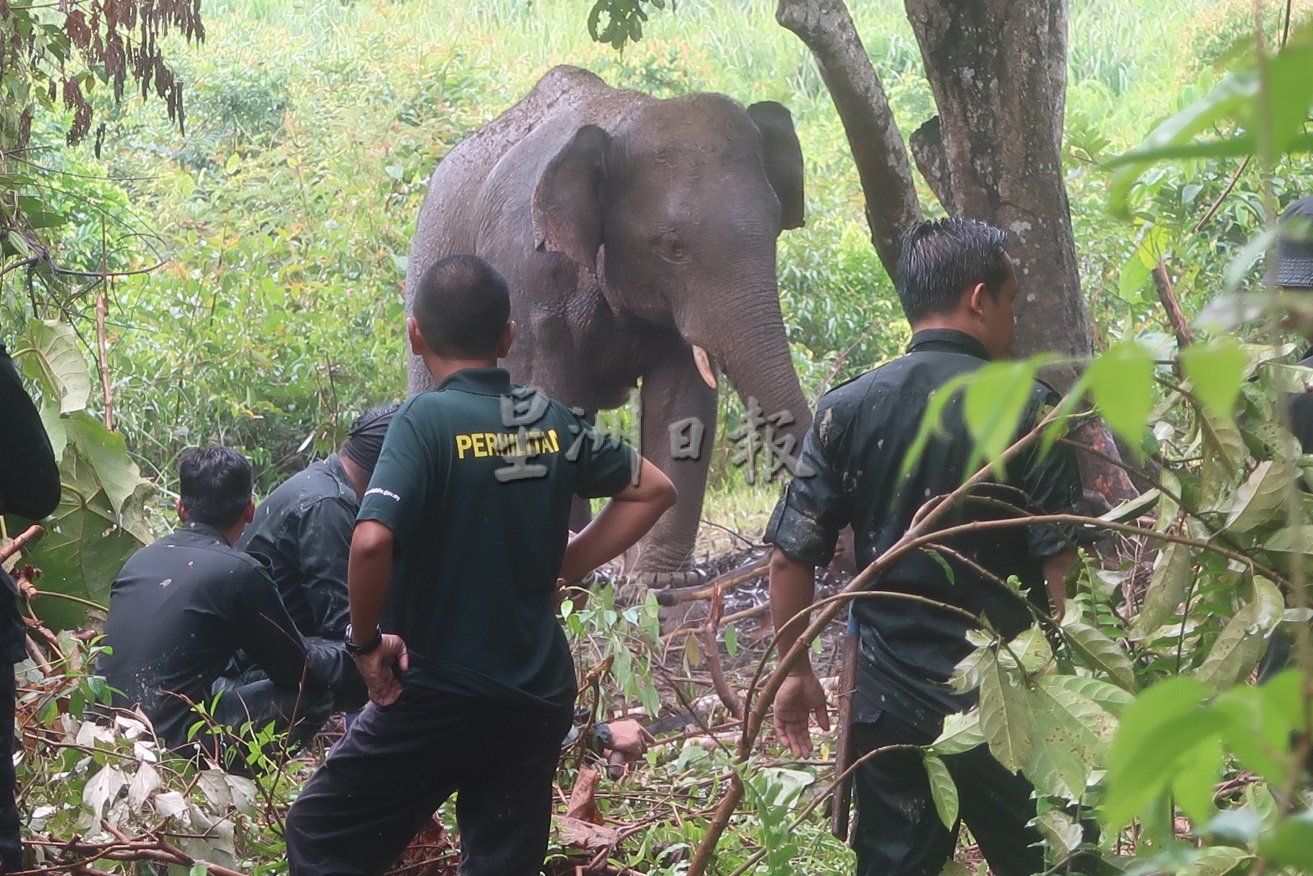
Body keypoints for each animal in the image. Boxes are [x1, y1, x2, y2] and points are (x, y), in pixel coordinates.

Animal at [404, 66, 808, 583]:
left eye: (776, 225)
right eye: (673, 247)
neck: (624, 117)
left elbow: (681, 405)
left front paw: (657, 581)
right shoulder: (529, 283)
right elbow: (545, 406)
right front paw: (569, 581)